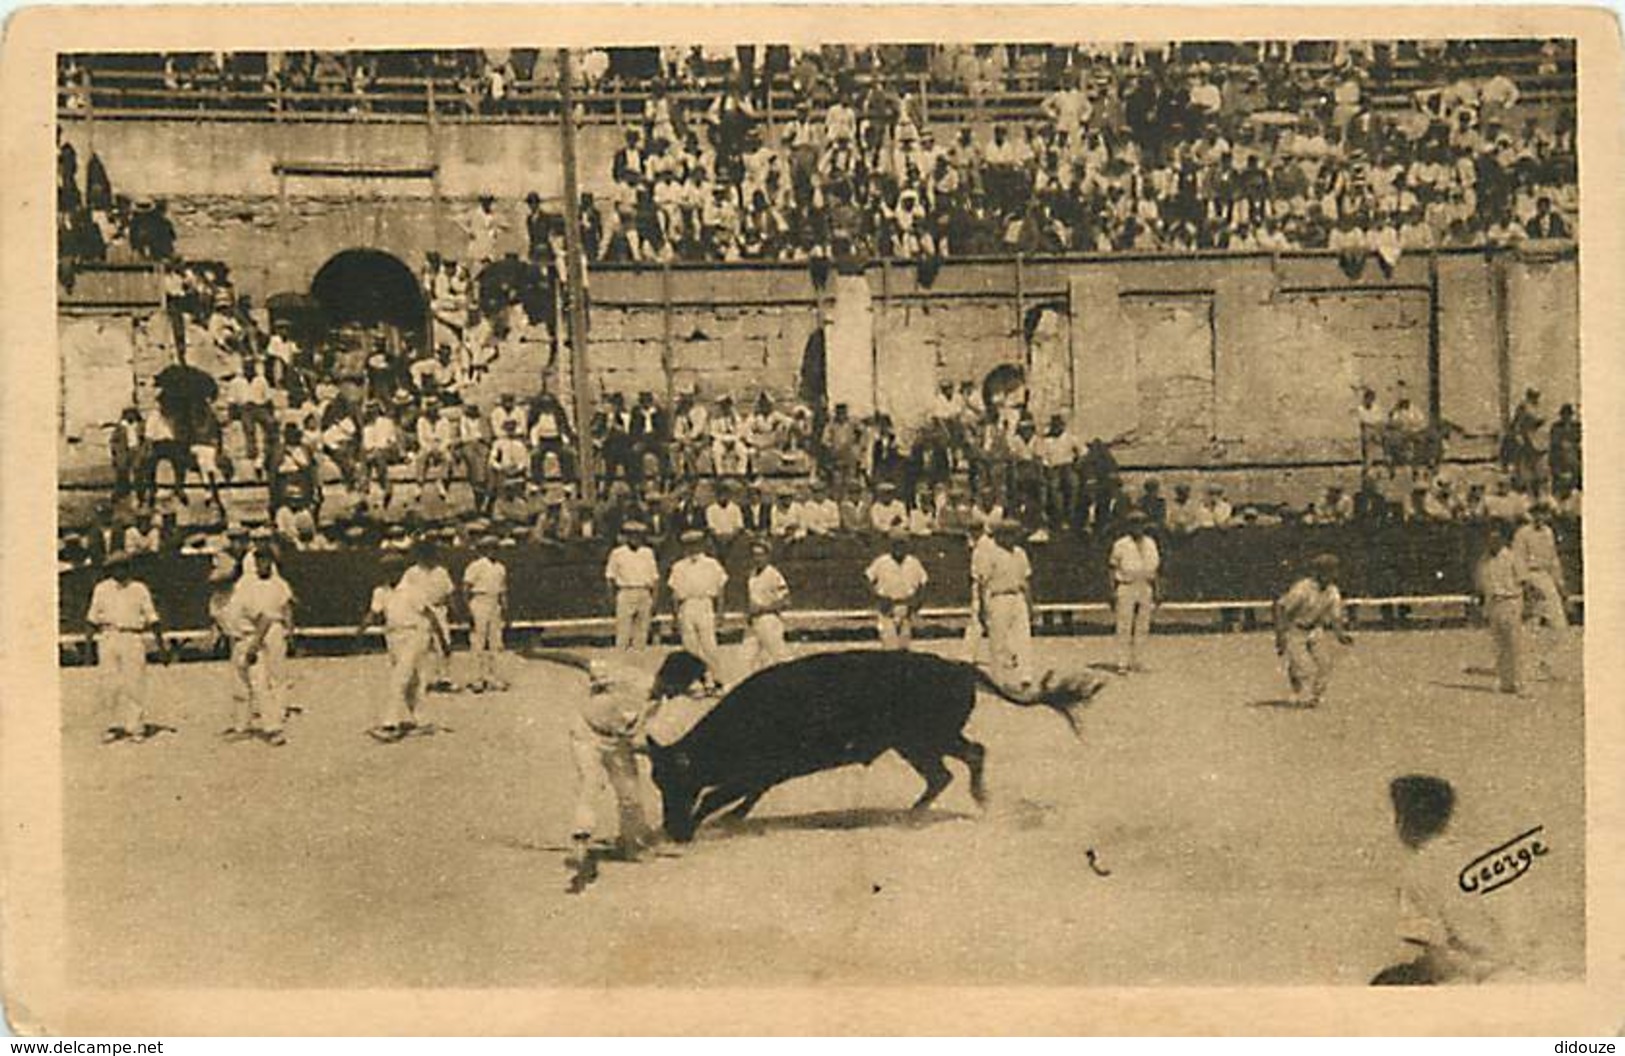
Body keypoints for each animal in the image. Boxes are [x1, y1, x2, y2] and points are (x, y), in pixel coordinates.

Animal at [640, 649, 1098, 838]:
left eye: (675, 785)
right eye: (656, 784)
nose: (671, 829)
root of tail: (960, 667)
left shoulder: (761, 768)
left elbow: (718, 795)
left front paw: (703, 824)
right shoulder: (765, 774)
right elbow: (745, 796)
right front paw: (733, 819)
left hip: (926, 738)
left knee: (970, 756)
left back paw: (969, 803)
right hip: (917, 744)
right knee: (946, 772)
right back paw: (913, 814)